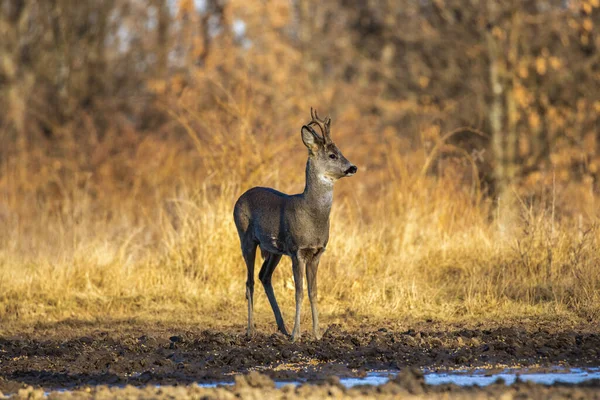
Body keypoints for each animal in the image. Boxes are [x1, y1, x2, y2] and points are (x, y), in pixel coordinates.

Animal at [233, 108, 356, 340]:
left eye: (340, 151)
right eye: (332, 155)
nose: (353, 167)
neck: (311, 214)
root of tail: (239, 199)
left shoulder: (317, 252)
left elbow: (313, 292)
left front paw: (317, 333)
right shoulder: (297, 250)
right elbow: (299, 292)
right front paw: (297, 335)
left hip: (274, 251)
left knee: (264, 276)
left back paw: (282, 327)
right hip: (246, 238)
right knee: (249, 282)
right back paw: (250, 330)